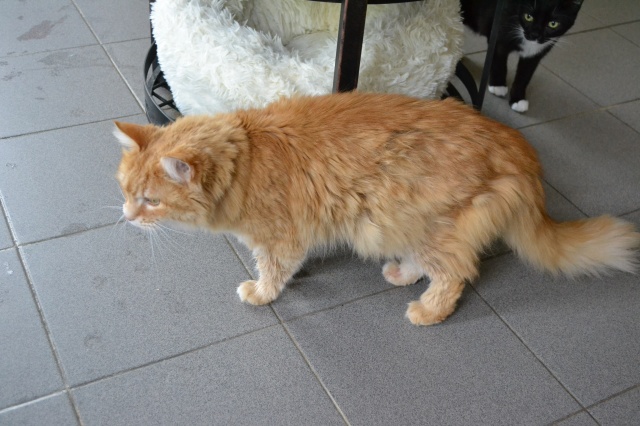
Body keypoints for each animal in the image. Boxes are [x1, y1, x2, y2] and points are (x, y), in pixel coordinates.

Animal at [114, 92, 639, 326]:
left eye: (150, 201)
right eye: (124, 191)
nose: (126, 217)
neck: (244, 155)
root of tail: (514, 143)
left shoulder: (279, 238)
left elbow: (273, 272)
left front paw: (260, 293)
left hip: (424, 224)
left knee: (456, 273)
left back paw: (426, 311)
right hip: (404, 224)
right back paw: (401, 274)